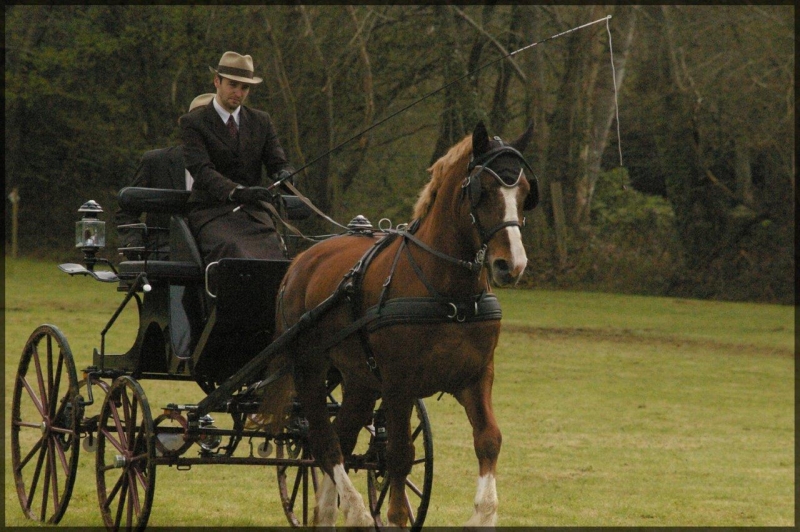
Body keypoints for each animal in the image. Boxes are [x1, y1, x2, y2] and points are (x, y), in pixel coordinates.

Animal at [262, 121, 536, 528]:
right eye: (482, 191)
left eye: (525, 191)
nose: (511, 264)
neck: (448, 293)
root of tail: (301, 261)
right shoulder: (398, 384)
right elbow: (399, 456)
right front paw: (391, 516)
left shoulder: (475, 377)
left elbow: (488, 439)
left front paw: (483, 514)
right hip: (310, 367)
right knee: (324, 442)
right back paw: (356, 510)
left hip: (360, 379)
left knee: (341, 436)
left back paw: (327, 511)